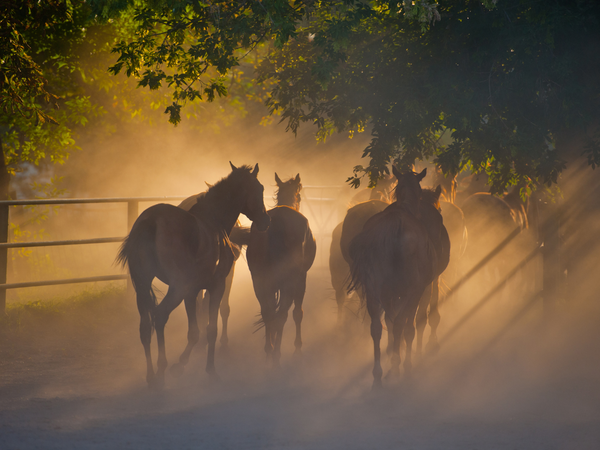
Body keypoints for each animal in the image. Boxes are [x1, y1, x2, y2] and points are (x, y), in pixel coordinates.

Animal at [116, 163, 270, 388]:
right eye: (259, 188)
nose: (266, 221)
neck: (213, 222)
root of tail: (151, 221)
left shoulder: (192, 291)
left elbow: (194, 332)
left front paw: (182, 365)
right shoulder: (215, 286)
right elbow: (211, 329)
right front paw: (208, 370)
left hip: (144, 286)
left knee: (145, 327)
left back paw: (151, 376)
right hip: (176, 288)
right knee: (160, 316)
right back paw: (161, 372)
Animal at [245, 172, 316, 366]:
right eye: (299, 195)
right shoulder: (301, 278)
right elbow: (297, 313)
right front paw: (297, 348)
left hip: (259, 280)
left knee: (267, 312)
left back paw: (269, 350)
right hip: (288, 281)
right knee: (282, 314)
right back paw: (276, 354)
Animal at [350, 167, 448, 388]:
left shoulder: (390, 295)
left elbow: (391, 321)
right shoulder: (417, 290)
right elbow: (409, 325)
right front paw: (404, 363)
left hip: (374, 291)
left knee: (377, 327)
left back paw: (378, 375)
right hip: (411, 291)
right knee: (403, 325)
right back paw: (400, 368)